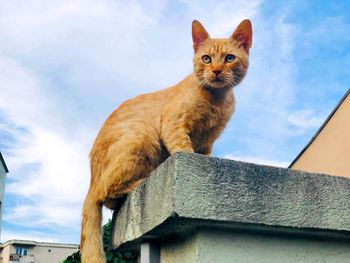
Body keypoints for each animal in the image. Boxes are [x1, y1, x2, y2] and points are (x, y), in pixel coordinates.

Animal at [81, 19, 253, 263]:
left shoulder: (206, 144)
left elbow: (202, 154)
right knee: (107, 192)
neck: (217, 100)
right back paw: (143, 178)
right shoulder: (173, 125)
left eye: (229, 58)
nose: (217, 71)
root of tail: (91, 179)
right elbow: (184, 149)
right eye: (206, 59)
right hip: (143, 137)